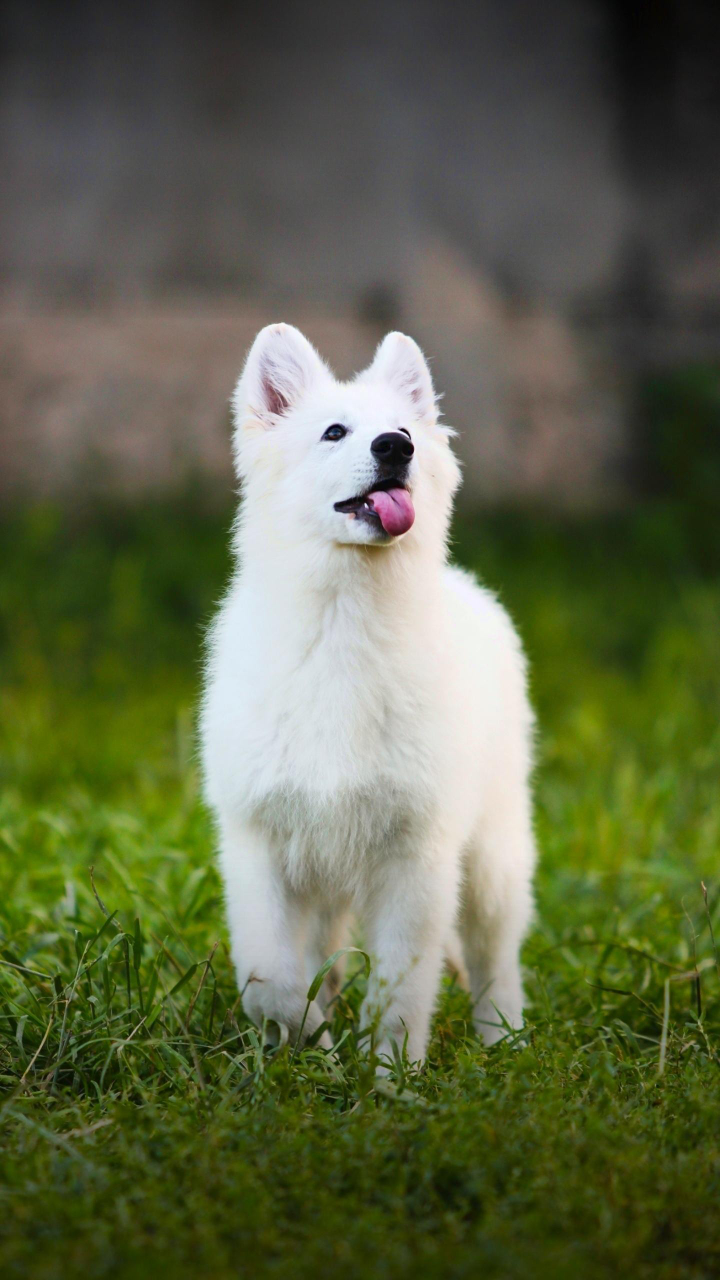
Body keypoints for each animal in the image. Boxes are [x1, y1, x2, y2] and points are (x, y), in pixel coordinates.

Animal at [198, 325, 535, 1064]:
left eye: (403, 432)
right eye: (334, 432)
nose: (395, 448)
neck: (343, 626)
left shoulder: (416, 860)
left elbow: (400, 995)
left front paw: (389, 1077)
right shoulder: (260, 849)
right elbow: (273, 981)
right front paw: (314, 1052)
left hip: (491, 859)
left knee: (495, 957)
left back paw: (504, 1041)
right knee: (323, 959)